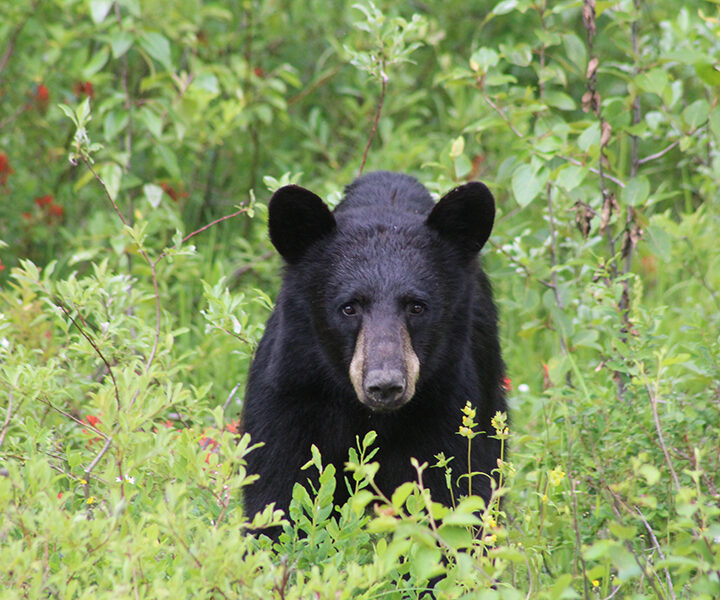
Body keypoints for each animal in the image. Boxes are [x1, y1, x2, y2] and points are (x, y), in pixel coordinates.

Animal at [243, 170, 506, 528]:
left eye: (417, 306)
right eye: (349, 307)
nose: (385, 385)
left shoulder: (447, 408)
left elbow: (451, 495)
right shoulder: (291, 398)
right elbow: (277, 495)